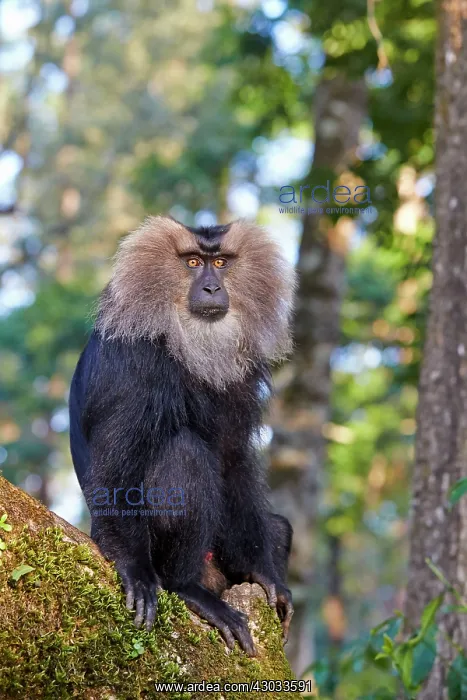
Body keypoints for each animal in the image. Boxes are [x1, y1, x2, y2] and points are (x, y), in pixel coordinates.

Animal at [69, 216, 296, 656]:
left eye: (220, 263)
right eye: (193, 262)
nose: (210, 288)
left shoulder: (240, 378)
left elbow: (233, 459)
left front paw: (265, 572)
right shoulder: (135, 358)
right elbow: (116, 469)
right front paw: (134, 571)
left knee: (278, 525)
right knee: (184, 454)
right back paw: (186, 586)